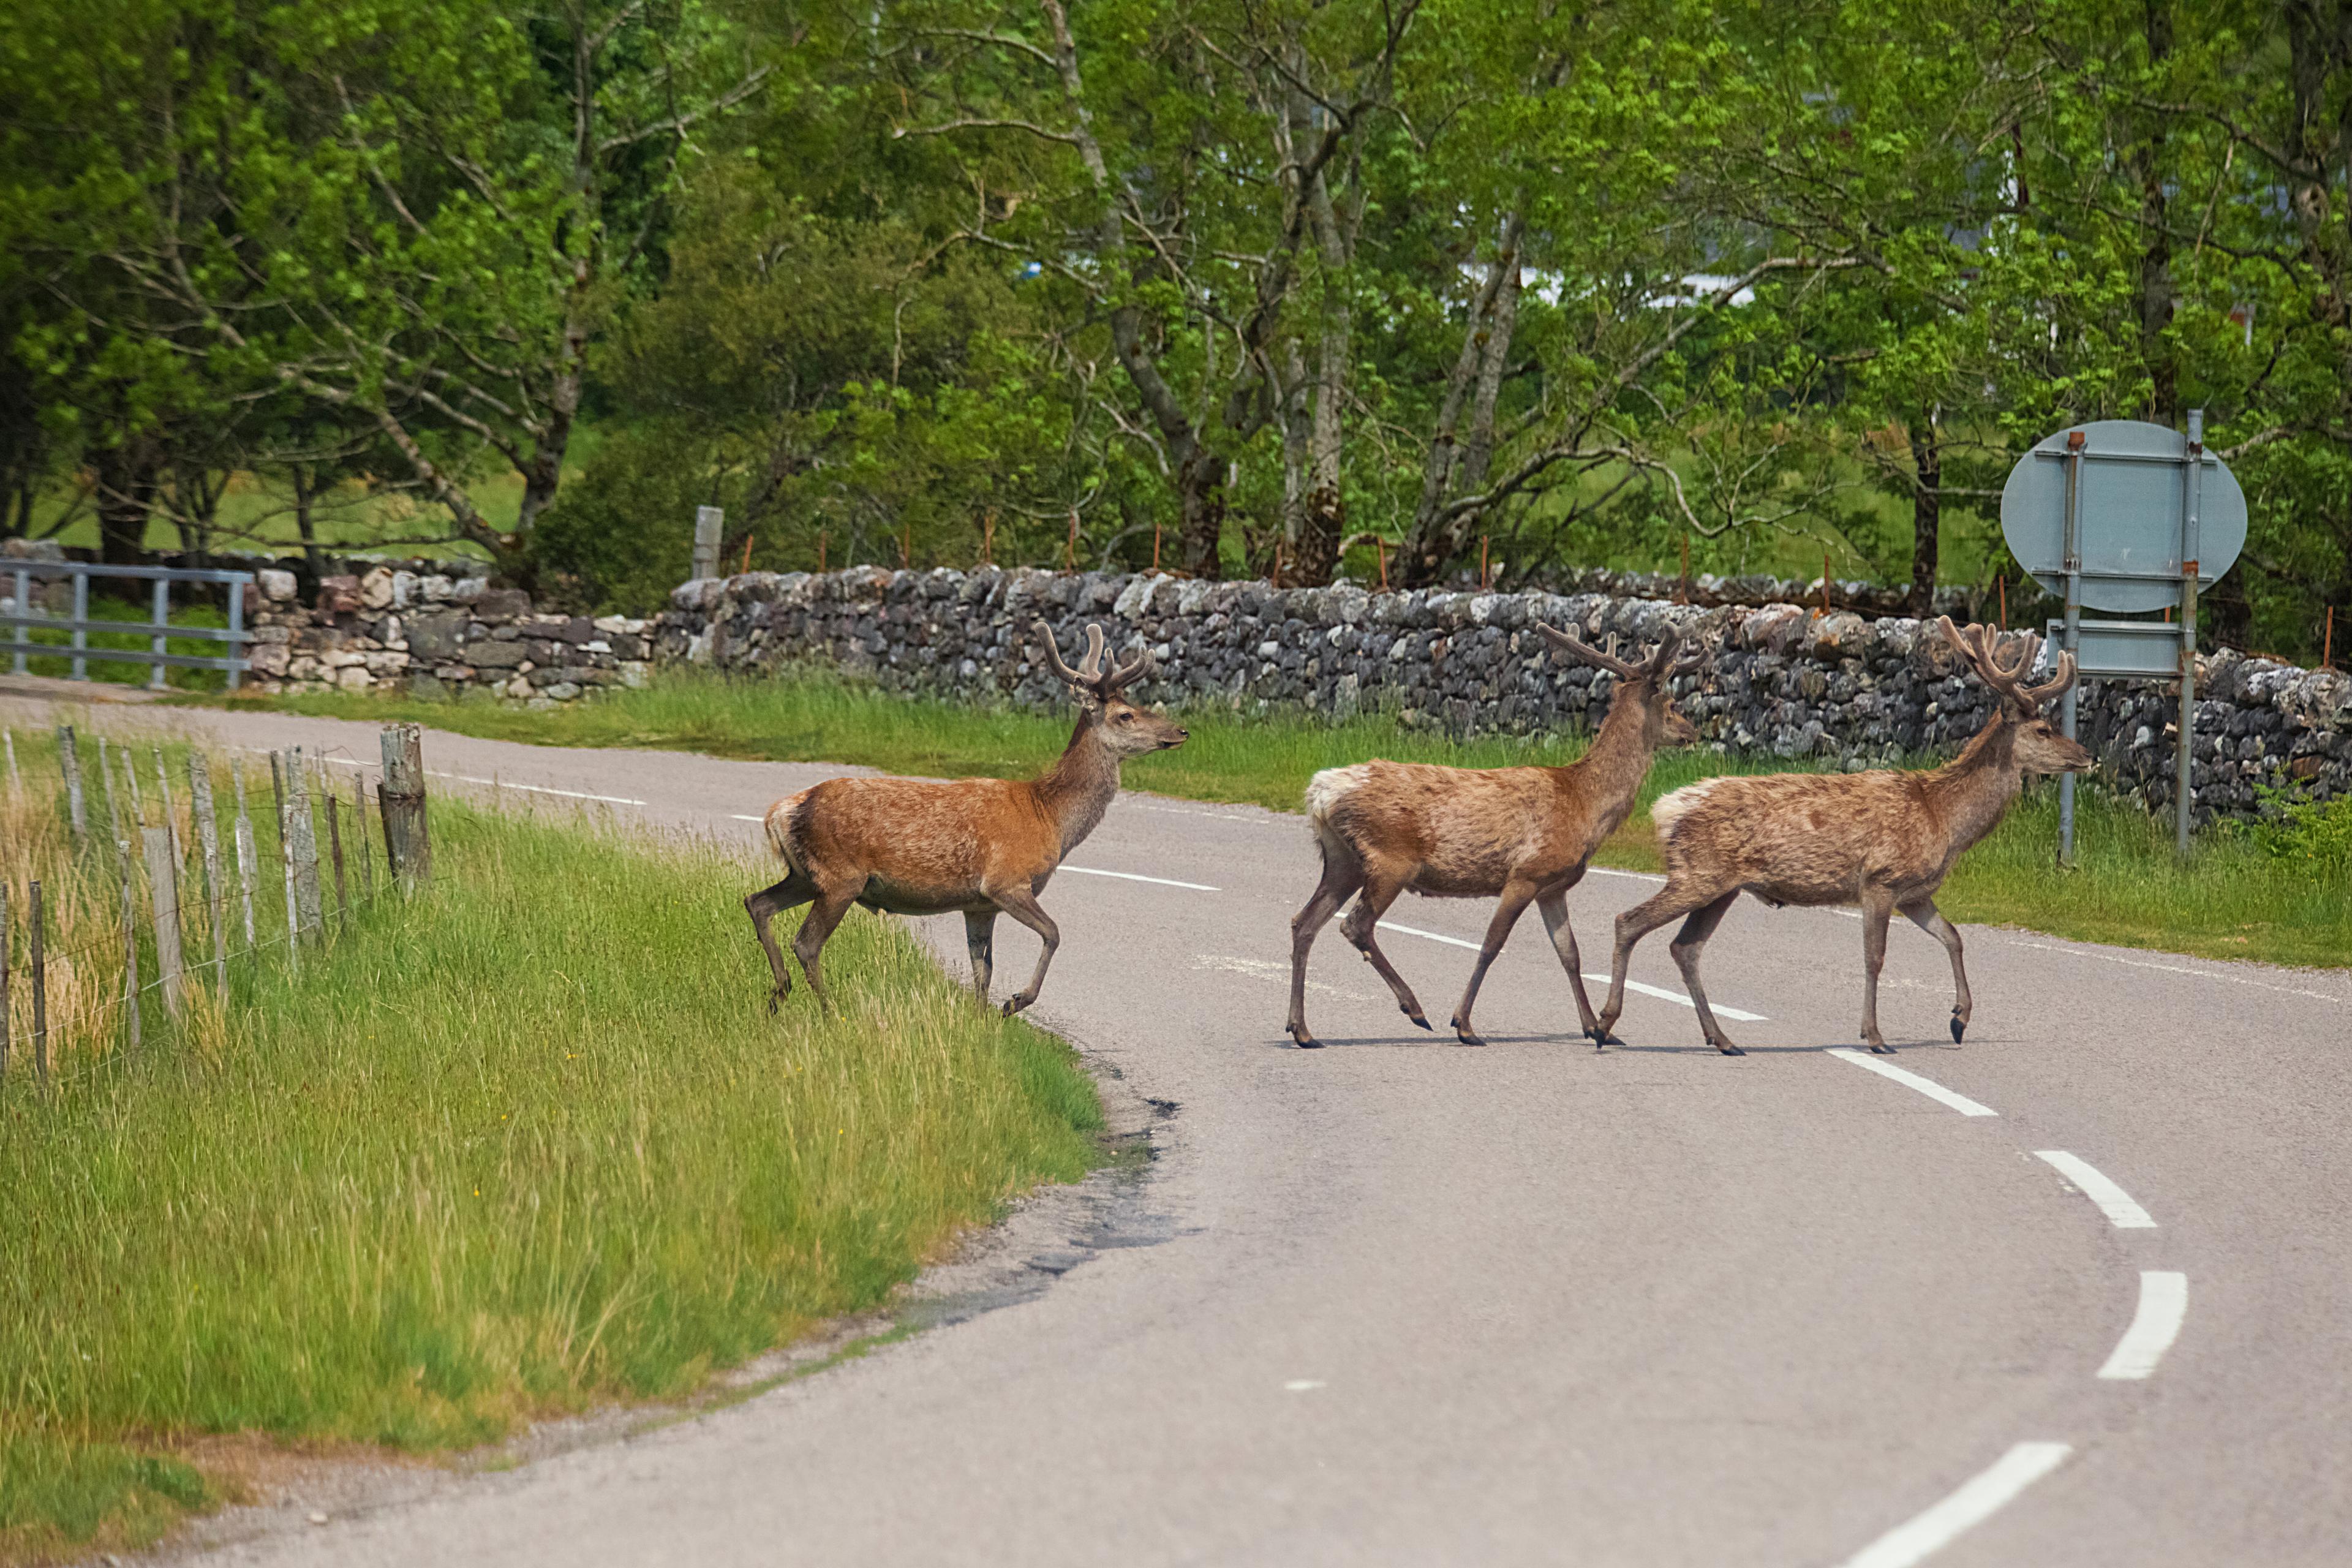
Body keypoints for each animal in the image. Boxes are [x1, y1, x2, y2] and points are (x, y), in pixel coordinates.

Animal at [745, 620, 1188, 1016]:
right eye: (1125, 715)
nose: (1182, 732)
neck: (1050, 817)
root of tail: (780, 813)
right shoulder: (1007, 881)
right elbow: (1053, 933)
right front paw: (1014, 1003)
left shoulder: (978, 905)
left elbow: (983, 968)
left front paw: (978, 1023)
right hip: (841, 877)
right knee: (806, 943)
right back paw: (829, 1009)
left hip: (806, 876)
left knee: (758, 903)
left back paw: (778, 994)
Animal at [1287, 622, 1705, 1049]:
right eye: (1673, 703)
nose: (1695, 731)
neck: (1584, 804)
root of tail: (1320, 792)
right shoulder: (1526, 873)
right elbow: (1492, 944)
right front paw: (1465, 1025)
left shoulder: (1554, 886)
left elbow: (1570, 953)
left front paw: (1594, 1028)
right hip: (1391, 859)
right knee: (1355, 925)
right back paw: (1415, 1009)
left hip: (1343, 861)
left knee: (1304, 923)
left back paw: (1302, 1030)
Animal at [1592, 617, 2089, 1057]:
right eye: (2043, 729)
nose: (2086, 754)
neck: (1945, 821)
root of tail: (1666, 809)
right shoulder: (1880, 879)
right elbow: (1875, 958)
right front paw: (1875, 1036)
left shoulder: (1916, 892)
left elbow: (1953, 937)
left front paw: (1959, 1019)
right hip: (1698, 874)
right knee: (1629, 922)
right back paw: (1604, 1025)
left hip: (1722, 886)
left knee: (1686, 947)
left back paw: (1723, 1039)